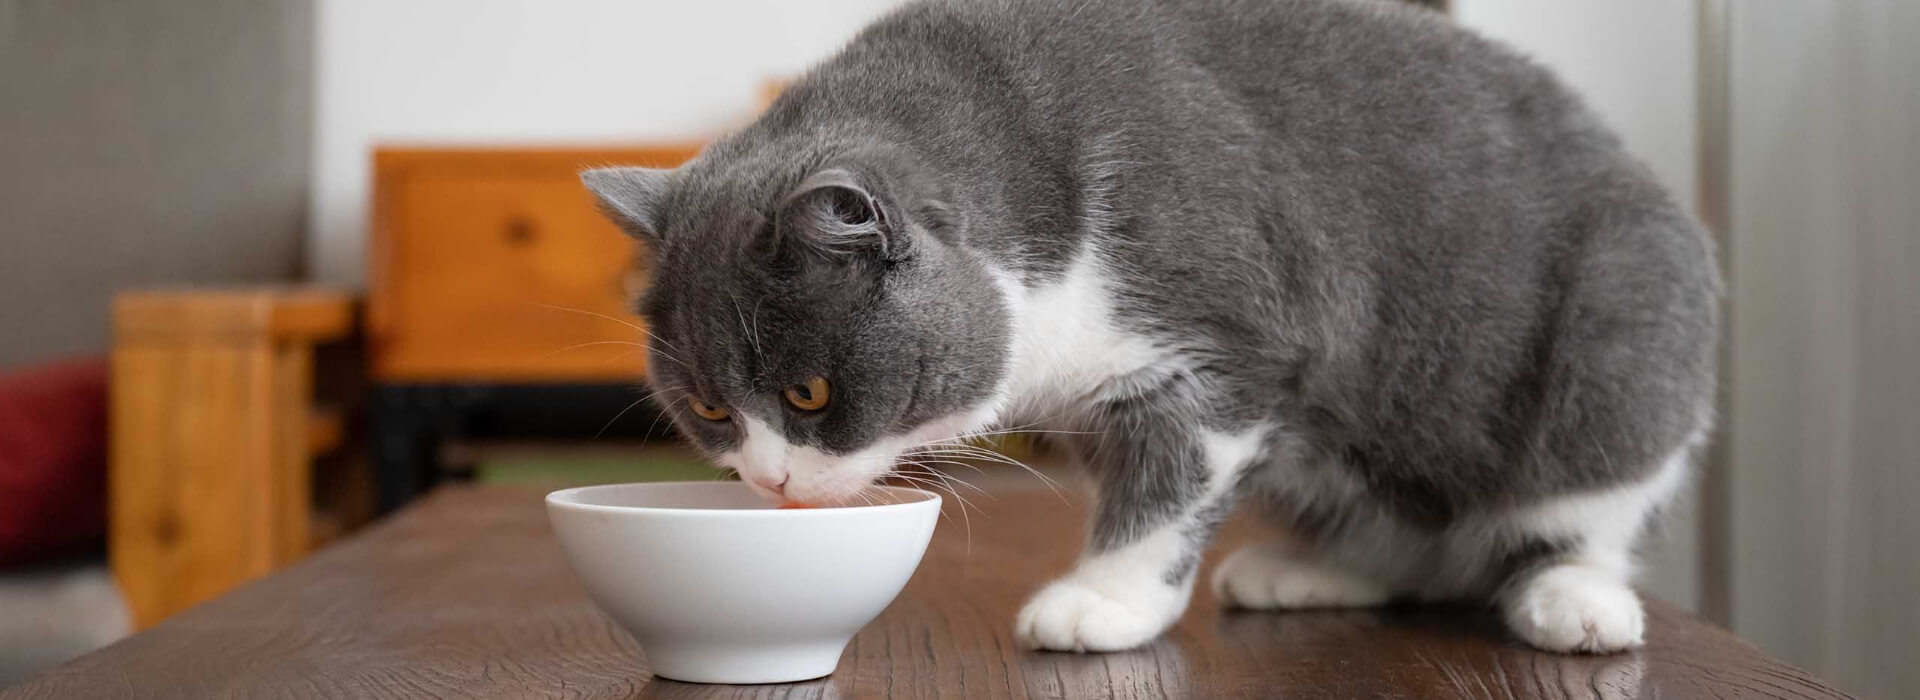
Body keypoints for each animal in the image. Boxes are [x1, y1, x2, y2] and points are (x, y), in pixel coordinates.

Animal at [576, 0, 1720, 655]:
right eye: (711, 409)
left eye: (808, 392)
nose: (770, 482)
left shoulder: (1222, 342)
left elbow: (1163, 489)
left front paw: (1101, 604)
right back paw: (1314, 570)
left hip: (1628, 321)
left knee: (1588, 500)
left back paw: (1575, 601)